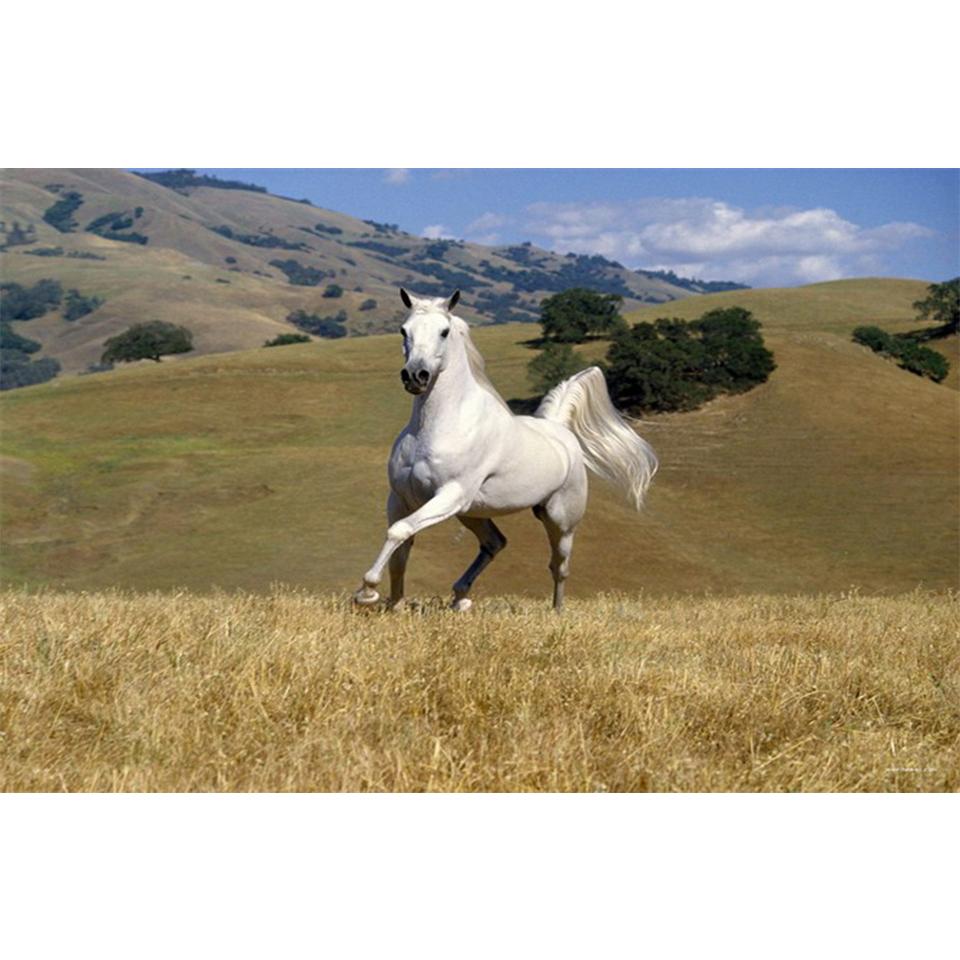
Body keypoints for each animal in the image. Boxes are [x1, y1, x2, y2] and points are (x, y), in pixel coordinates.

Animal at [353, 288, 658, 612]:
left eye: (444, 331)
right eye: (404, 330)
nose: (415, 376)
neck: (436, 427)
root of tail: (559, 430)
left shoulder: (450, 494)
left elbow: (399, 532)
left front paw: (367, 592)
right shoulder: (401, 498)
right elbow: (401, 547)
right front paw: (393, 605)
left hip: (560, 520)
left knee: (559, 566)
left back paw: (556, 611)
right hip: (471, 513)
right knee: (495, 542)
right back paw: (460, 598)